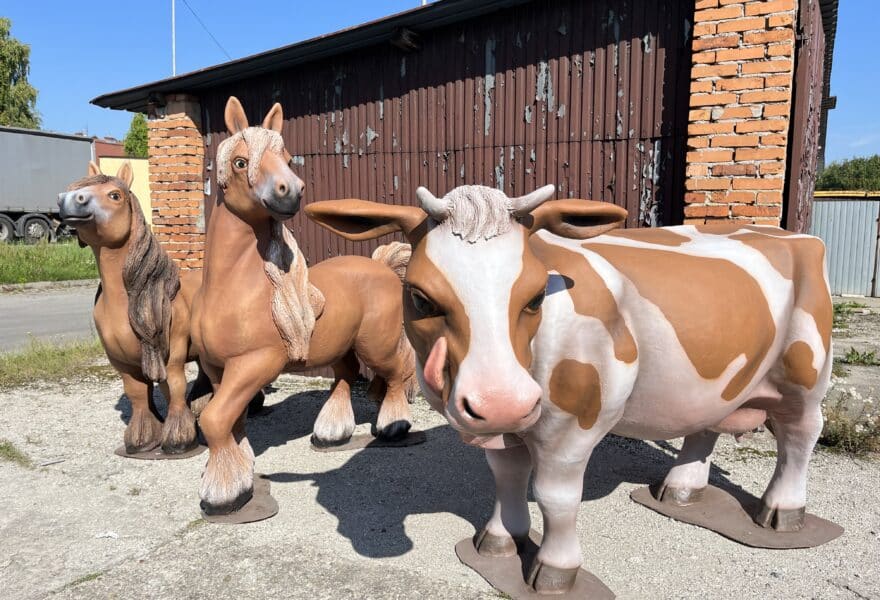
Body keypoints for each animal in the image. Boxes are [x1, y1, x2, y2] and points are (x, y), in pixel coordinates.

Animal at [304, 186, 832, 596]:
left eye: (537, 296)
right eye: (420, 297)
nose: (503, 401)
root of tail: (791, 233)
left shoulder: (575, 424)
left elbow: (556, 497)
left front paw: (554, 570)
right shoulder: (501, 426)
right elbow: (507, 478)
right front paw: (500, 540)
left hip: (807, 372)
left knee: (801, 435)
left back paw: (783, 509)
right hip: (713, 383)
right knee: (704, 426)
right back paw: (680, 490)